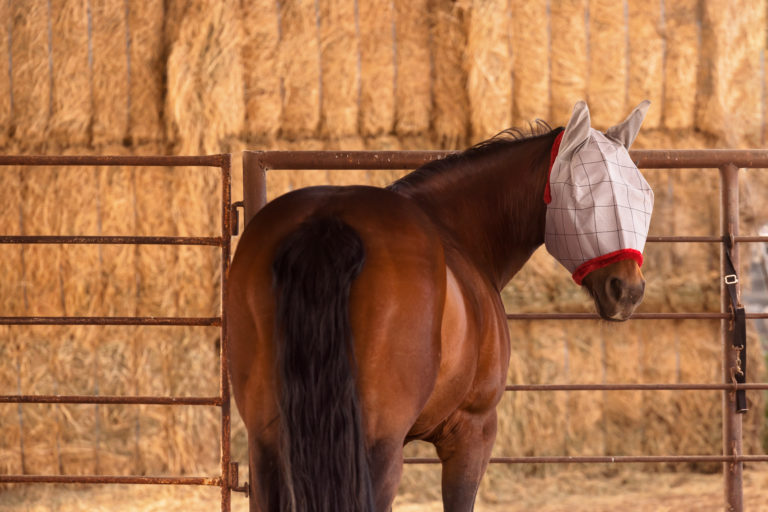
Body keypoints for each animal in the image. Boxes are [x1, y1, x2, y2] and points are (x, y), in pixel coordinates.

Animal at [226, 100, 653, 512]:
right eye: (586, 193)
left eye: (643, 194)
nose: (627, 290)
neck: (456, 231)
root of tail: (327, 222)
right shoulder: (472, 432)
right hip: (376, 450)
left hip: (268, 447)